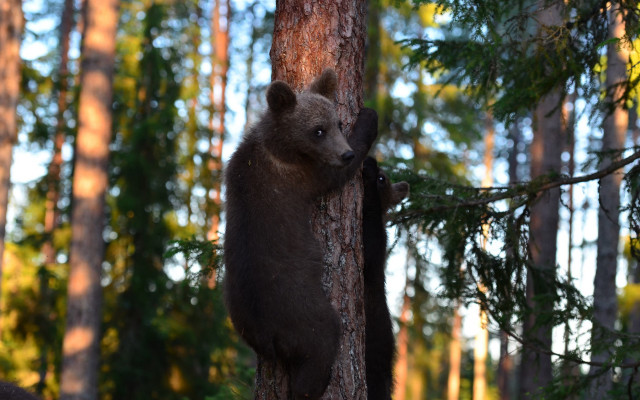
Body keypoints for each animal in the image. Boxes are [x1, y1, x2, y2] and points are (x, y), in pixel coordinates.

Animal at [223, 69, 378, 400]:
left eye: (337, 123)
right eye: (318, 130)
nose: (345, 153)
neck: (280, 147)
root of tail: (266, 334)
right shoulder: (303, 174)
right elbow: (333, 175)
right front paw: (369, 119)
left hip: (239, 317)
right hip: (302, 311)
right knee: (322, 340)